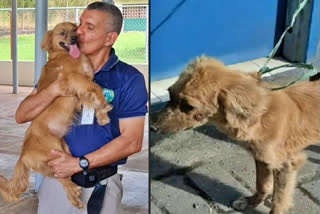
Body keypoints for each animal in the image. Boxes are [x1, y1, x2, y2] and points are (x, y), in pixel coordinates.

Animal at [0, 22, 112, 208]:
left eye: (75, 29)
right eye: (62, 33)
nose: (75, 37)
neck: (65, 55)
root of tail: (23, 154)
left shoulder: (82, 89)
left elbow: (93, 98)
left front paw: (103, 115)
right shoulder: (75, 79)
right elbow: (96, 89)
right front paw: (105, 106)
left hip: (62, 153)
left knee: (63, 177)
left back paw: (75, 200)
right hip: (53, 153)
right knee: (63, 178)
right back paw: (74, 192)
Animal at [152, 56, 320, 214]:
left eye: (188, 106)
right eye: (170, 94)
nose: (153, 127)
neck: (261, 116)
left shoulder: (287, 164)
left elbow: (278, 200)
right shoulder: (262, 158)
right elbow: (262, 185)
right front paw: (251, 202)